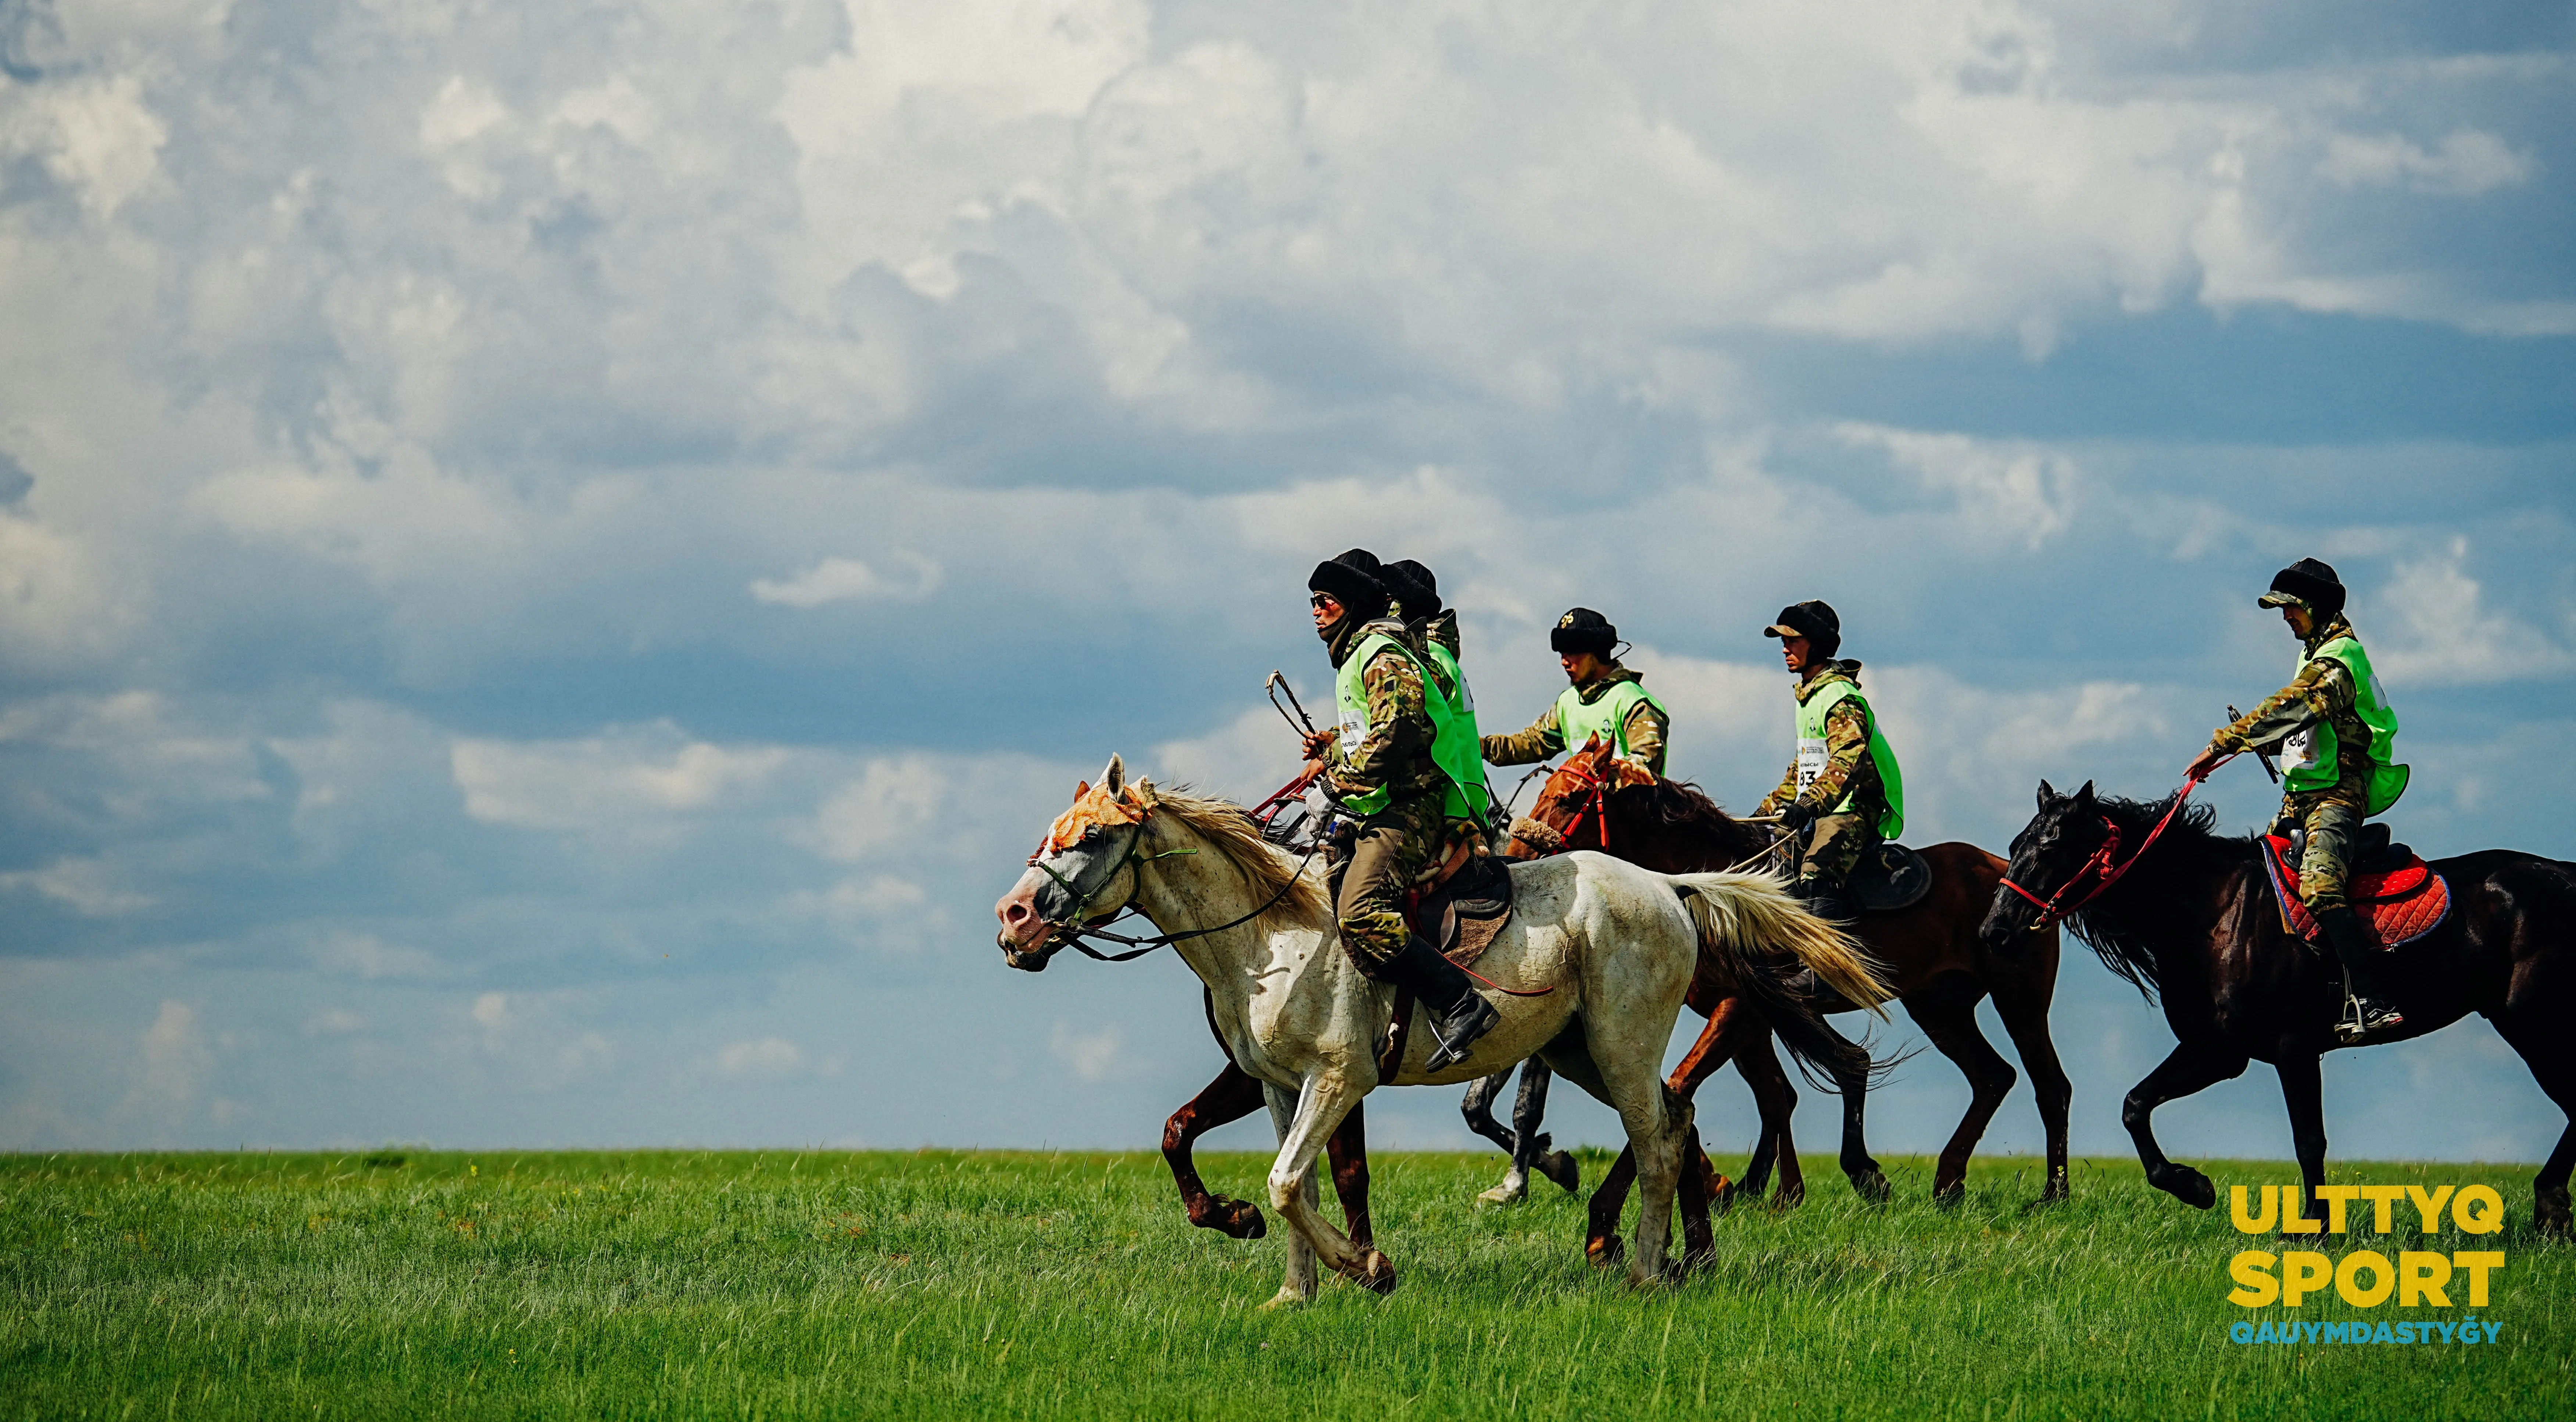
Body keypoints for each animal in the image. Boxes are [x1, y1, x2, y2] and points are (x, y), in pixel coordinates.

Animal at [989, 762, 1896, 1303]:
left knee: (1659, 1141)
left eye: (1095, 835)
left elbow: (1290, 1183)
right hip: (1579, 1052)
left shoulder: (1338, 1080)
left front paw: (1364, 1266)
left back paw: (1641, 1266)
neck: (1269, 936)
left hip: (1621, 1046)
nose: (1014, 919)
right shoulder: (1281, 1087)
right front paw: (1294, 1291)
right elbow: (1291, 1182)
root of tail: (1668, 885)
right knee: (1678, 1120)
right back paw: (1684, 1259)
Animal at [1504, 737, 2071, 1252]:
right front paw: (1776, 1192)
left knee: (2050, 1085)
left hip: (2019, 998)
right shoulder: (1750, 1018)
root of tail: (2004, 873)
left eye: (1570, 798)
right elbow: (1775, 1094)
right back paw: (1948, 1181)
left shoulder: (1741, 1009)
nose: (1512, 859)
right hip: (1940, 1008)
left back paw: (2052, 1196)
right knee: (1993, 1077)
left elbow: (1686, 1088)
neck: (1706, 885)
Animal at [1978, 778, 2565, 1231]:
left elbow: (2309, 1140)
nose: (1994, 931)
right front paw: (2195, 1187)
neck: (2215, 914)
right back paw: (2551, 1213)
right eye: (2014, 843)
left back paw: (2550, 1207)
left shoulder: (2292, 1048)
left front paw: (2314, 1230)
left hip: (2534, 1024)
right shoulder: (2216, 1050)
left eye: (2050, 847)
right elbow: (2134, 1106)